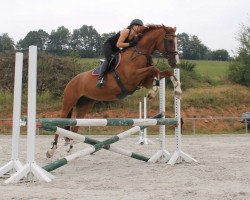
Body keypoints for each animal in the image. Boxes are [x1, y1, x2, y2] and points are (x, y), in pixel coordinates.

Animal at [46, 24, 182, 158]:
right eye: (170, 41)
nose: (175, 62)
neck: (140, 53)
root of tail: (72, 80)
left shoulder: (142, 81)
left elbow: (164, 73)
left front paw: (176, 90)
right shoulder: (131, 78)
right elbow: (154, 69)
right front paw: (153, 91)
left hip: (85, 105)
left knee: (76, 126)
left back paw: (70, 147)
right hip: (69, 102)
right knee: (60, 123)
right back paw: (51, 150)